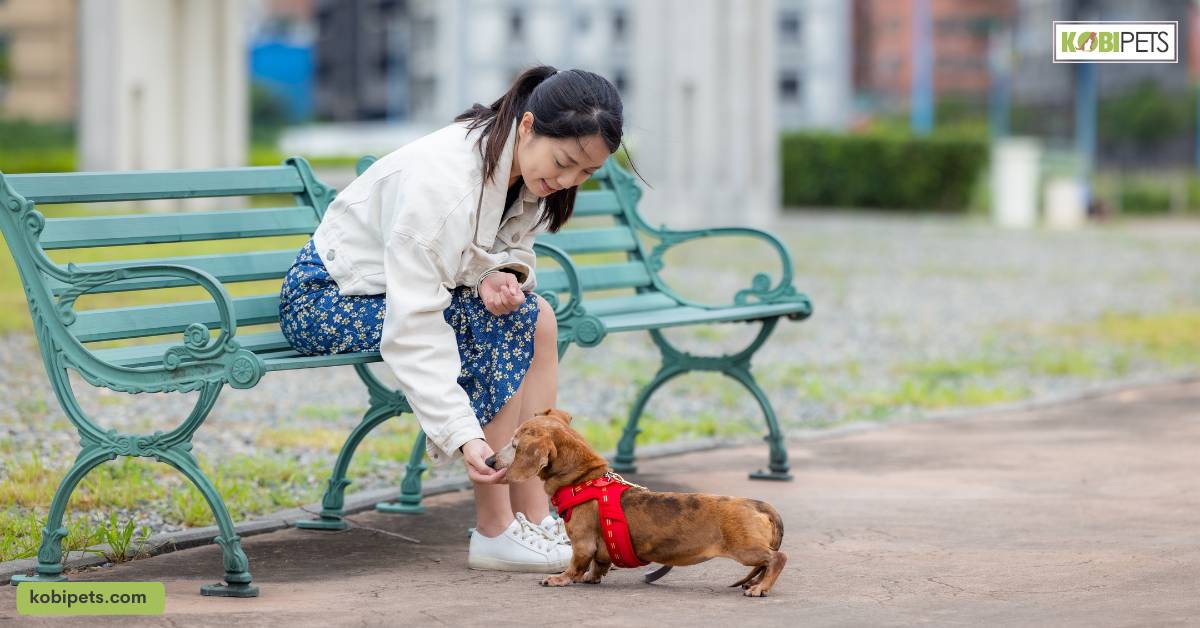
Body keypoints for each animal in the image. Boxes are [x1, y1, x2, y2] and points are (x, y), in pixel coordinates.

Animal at [489, 410, 787, 597]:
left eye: (514, 445)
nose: (490, 461)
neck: (584, 480)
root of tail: (757, 504)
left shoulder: (583, 543)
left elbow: (576, 564)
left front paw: (560, 578)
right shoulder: (600, 549)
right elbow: (598, 564)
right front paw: (592, 577)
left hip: (745, 549)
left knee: (777, 558)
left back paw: (761, 588)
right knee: (766, 563)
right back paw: (758, 583)